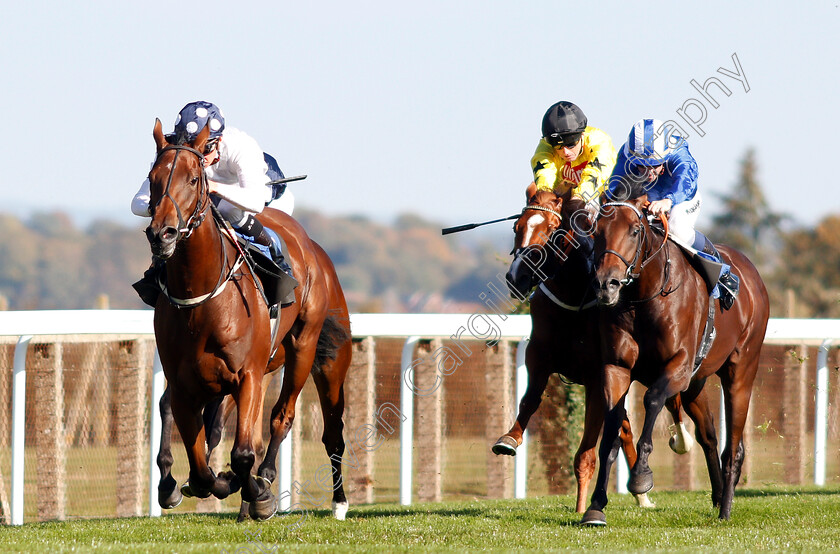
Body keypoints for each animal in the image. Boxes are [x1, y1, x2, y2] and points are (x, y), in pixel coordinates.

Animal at [144, 118, 352, 520]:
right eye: (152, 178)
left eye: (193, 179)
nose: (162, 233)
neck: (202, 298)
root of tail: (314, 250)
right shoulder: (186, 383)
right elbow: (200, 464)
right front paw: (193, 483)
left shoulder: (248, 376)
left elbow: (242, 453)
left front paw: (258, 493)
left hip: (312, 352)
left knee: (299, 421)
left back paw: (331, 499)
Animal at [492, 183, 688, 512]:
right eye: (517, 228)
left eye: (553, 230)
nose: (516, 276)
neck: (571, 299)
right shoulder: (538, 356)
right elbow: (529, 400)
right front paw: (509, 439)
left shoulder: (598, 377)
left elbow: (586, 453)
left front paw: (583, 507)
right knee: (625, 426)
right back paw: (641, 491)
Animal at [580, 188, 772, 524]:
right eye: (596, 231)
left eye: (634, 230)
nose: (606, 284)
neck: (645, 297)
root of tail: (752, 274)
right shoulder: (616, 367)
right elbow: (612, 428)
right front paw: (596, 505)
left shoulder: (679, 366)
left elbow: (653, 398)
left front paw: (641, 475)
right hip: (697, 384)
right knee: (708, 435)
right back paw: (718, 495)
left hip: (741, 370)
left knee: (734, 448)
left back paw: (725, 510)